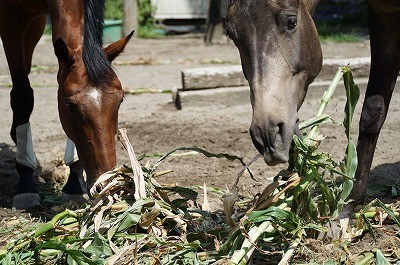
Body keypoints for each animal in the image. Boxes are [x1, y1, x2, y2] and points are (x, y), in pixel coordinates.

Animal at [0, 0, 134, 208]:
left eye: (120, 100)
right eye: (70, 106)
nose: (107, 185)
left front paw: (73, 183)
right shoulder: (10, 17)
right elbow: (22, 96)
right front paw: (25, 185)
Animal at [227, 0, 398, 213]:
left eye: (291, 22)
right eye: (231, 33)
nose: (267, 135)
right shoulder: (383, 18)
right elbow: (372, 114)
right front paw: (350, 202)